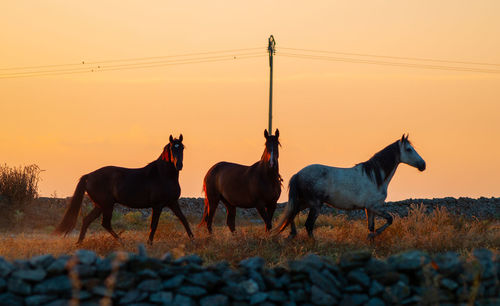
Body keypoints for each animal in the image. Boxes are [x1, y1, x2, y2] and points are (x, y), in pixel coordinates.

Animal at [54, 135, 193, 245]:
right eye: (172, 148)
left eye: (182, 147)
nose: (179, 165)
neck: (162, 175)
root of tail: (89, 175)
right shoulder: (157, 205)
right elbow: (153, 225)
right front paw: (149, 243)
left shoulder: (173, 203)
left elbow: (184, 220)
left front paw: (193, 239)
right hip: (107, 205)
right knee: (105, 223)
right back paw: (122, 242)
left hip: (99, 205)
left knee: (87, 220)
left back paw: (80, 243)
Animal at [274, 134, 426, 239]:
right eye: (409, 149)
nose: (423, 165)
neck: (375, 177)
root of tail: (298, 174)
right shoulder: (374, 207)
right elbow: (389, 219)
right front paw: (375, 234)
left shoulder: (369, 209)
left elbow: (371, 226)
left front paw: (371, 239)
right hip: (315, 205)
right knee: (308, 225)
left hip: (305, 202)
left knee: (291, 215)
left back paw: (292, 235)